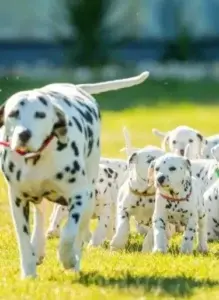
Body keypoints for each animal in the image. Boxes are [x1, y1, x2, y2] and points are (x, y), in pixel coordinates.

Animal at [0, 70, 150, 278]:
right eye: (13, 113)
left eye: (40, 115)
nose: (24, 134)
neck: (38, 157)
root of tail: (75, 87)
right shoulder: (18, 200)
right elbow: (23, 240)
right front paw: (28, 273)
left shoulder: (79, 196)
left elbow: (69, 233)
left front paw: (68, 258)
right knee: (40, 214)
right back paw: (38, 247)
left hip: (89, 194)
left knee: (80, 231)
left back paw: (75, 259)